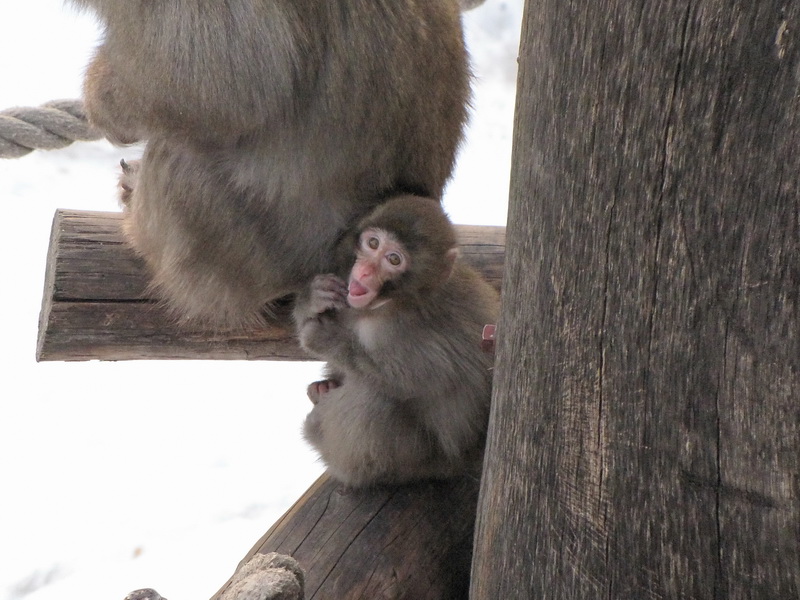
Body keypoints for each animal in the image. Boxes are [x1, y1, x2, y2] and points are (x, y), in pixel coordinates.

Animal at [292, 197, 500, 488]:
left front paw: (325, 338)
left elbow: (411, 382)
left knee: (375, 399)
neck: (390, 303)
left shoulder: (404, 332)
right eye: (373, 243)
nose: (364, 272)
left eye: (393, 259)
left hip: (414, 462)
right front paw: (312, 298)